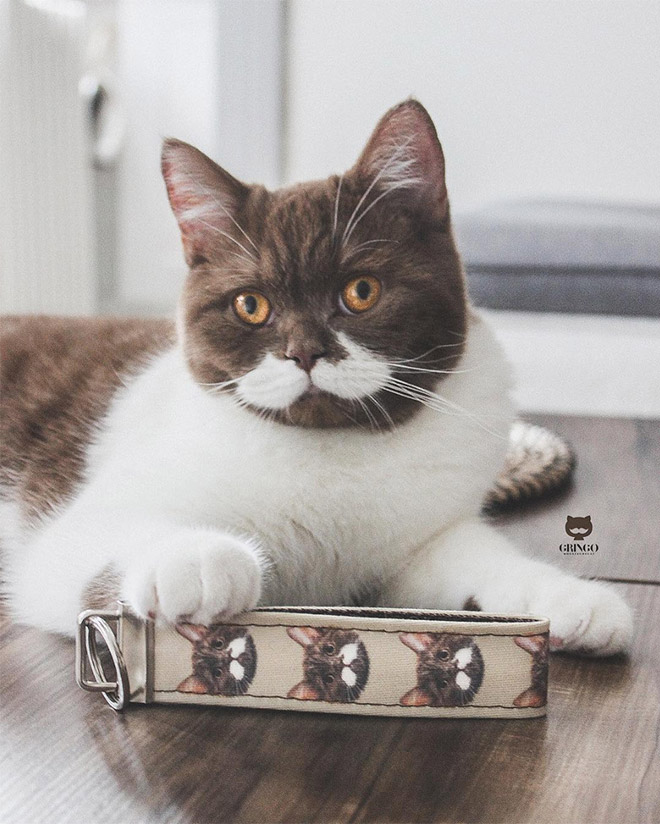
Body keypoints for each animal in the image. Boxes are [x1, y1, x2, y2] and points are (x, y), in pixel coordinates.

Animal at [0, 96, 628, 656]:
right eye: (250, 305)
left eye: (361, 291)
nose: (304, 353)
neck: (332, 453)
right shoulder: (73, 532)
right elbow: (96, 540)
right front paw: (197, 559)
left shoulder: (415, 548)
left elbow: (478, 555)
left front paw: (572, 599)